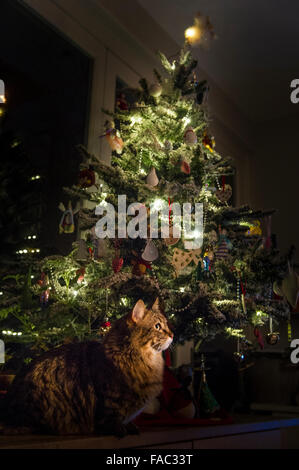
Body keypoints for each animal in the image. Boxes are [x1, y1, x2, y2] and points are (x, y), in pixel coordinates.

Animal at [0, 298, 173, 436]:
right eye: (157, 326)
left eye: (167, 325)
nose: (172, 334)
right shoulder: (109, 402)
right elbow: (111, 420)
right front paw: (120, 430)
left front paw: (131, 427)